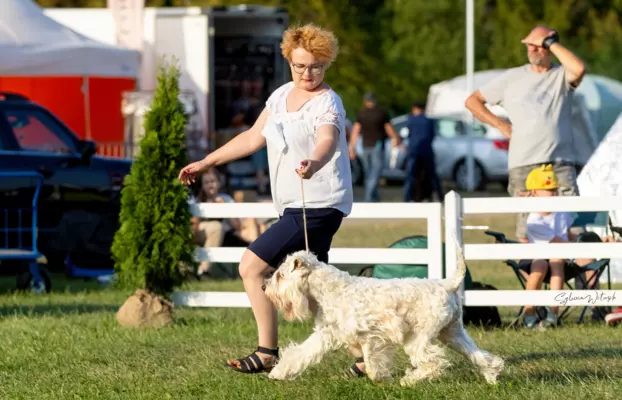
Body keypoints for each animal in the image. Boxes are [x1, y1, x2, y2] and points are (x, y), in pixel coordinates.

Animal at [264, 242, 508, 386]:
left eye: (280, 275)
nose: (264, 286)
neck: (331, 290)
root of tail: (447, 284)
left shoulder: (373, 337)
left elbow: (372, 363)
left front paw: (380, 378)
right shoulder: (326, 334)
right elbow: (300, 353)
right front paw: (279, 372)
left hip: (419, 339)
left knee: (433, 362)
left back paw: (409, 380)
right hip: (453, 333)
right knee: (479, 355)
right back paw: (492, 375)